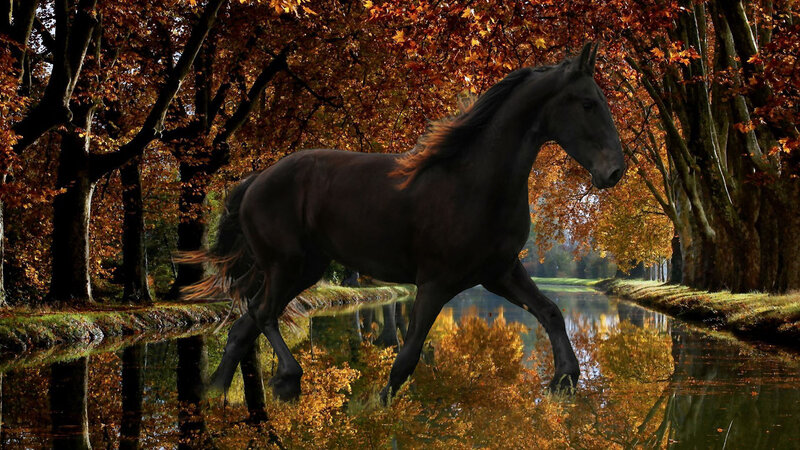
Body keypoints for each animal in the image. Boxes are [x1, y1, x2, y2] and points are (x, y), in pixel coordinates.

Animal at [180, 42, 626, 403]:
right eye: (588, 103)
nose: (615, 171)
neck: (475, 182)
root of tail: (256, 180)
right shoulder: (436, 282)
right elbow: (407, 355)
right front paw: (379, 405)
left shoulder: (500, 271)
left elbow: (551, 311)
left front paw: (565, 379)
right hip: (285, 264)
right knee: (262, 316)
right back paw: (287, 379)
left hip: (304, 268)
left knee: (244, 327)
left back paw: (216, 392)